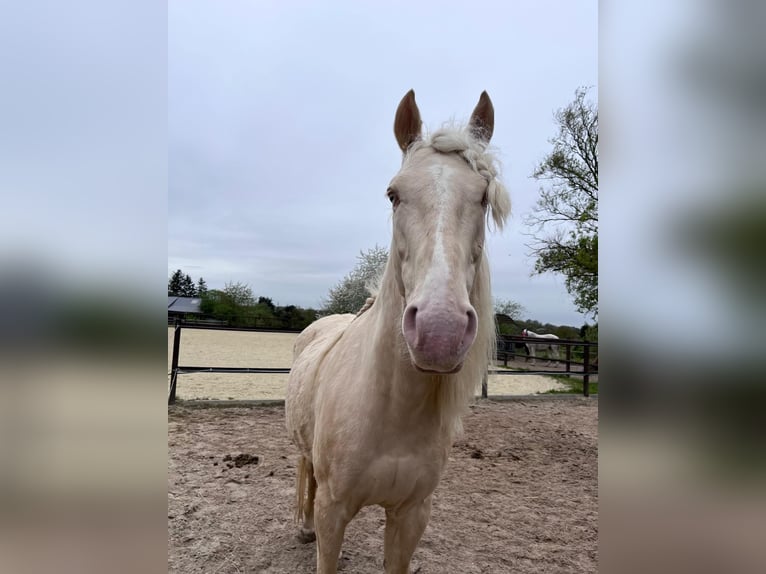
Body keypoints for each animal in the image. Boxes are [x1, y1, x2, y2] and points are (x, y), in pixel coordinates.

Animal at [284, 92, 512, 572]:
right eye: (393, 194)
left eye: (483, 197)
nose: (439, 331)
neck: (393, 411)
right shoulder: (334, 511)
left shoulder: (411, 515)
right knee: (304, 471)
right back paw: (302, 526)